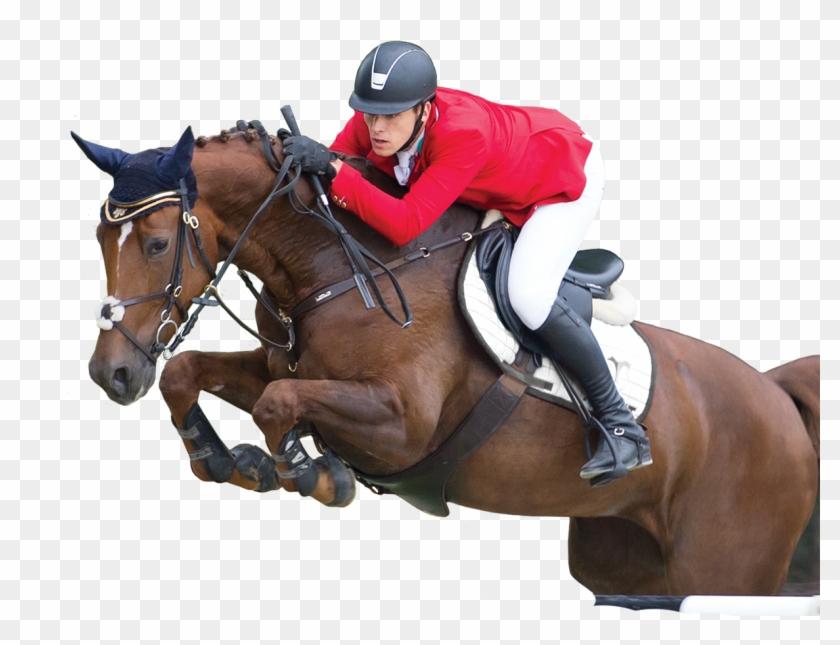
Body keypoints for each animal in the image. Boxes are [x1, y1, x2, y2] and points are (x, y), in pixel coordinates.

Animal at [77, 124, 819, 596]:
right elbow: (191, 373)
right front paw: (225, 458)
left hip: (723, 568)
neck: (334, 265)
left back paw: (621, 441)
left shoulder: (403, 422)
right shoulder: (286, 363)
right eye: (100, 239)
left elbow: (275, 405)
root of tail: (776, 396)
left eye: (157, 243)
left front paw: (311, 472)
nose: (111, 375)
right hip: (627, 565)